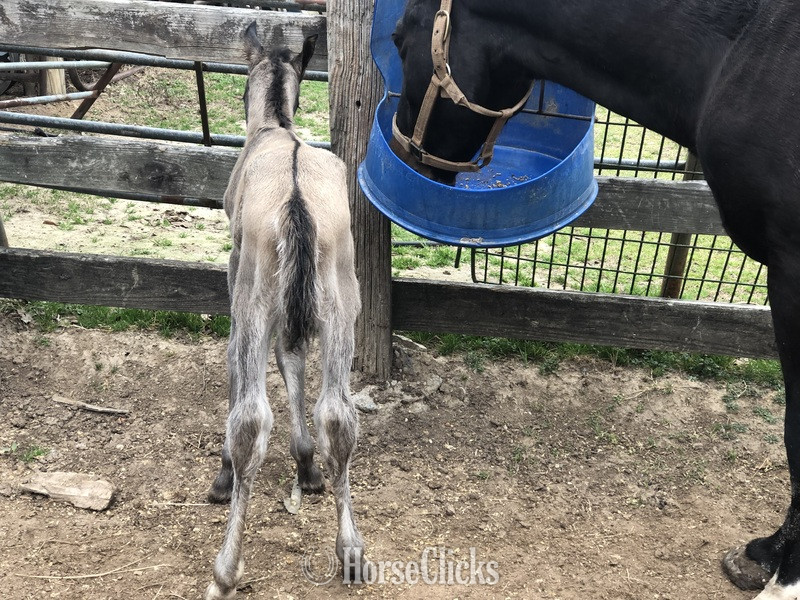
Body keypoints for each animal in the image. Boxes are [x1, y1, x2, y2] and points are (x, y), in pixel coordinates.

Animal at [204, 23, 365, 599]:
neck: (275, 128)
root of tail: (296, 202)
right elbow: (293, 364)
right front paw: (307, 468)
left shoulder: (237, 288)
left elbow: (235, 372)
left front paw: (223, 477)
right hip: (343, 309)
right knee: (337, 414)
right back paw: (350, 549)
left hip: (253, 299)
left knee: (251, 417)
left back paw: (225, 568)